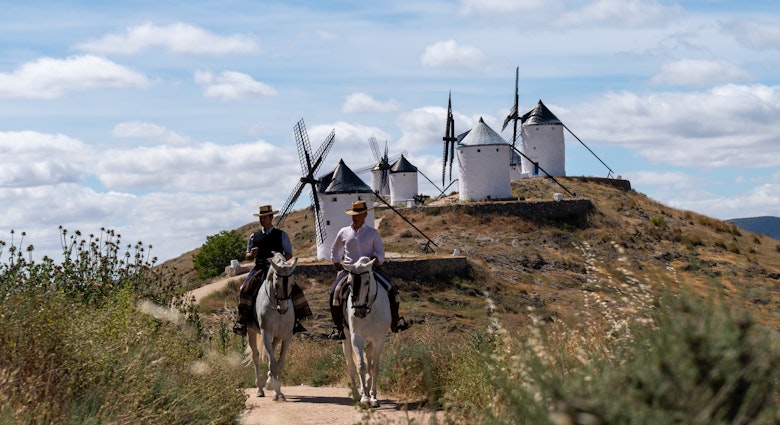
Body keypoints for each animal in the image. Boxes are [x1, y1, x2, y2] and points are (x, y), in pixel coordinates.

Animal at [248, 252, 298, 400]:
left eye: (292, 284)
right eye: (276, 284)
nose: (283, 309)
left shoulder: (287, 336)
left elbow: (280, 363)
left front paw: (278, 391)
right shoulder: (266, 333)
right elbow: (273, 362)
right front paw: (272, 386)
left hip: (277, 336)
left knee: (272, 350)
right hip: (251, 331)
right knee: (256, 356)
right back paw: (260, 388)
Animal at [342, 255, 390, 408]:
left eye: (367, 282)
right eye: (349, 282)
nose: (359, 312)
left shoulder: (379, 339)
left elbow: (374, 368)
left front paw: (373, 397)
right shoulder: (356, 337)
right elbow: (361, 366)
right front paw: (364, 398)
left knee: (368, 357)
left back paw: (367, 389)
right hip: (346, 339)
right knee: (351, 365)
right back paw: (358, 394)